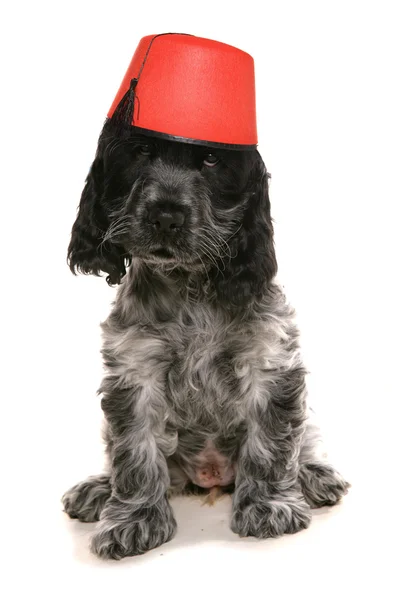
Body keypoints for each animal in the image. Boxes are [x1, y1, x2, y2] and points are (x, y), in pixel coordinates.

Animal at [62, 120, 350, 556]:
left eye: (212, 160)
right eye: (140, 151)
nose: (166, 217)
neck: (190, 286)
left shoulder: (270, 363)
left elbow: (272, 443)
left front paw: (269, 506)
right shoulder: (135, 371)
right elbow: (134, 452)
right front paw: (133, 519)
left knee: (305, 440)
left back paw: (314, 475)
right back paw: (98, 489)